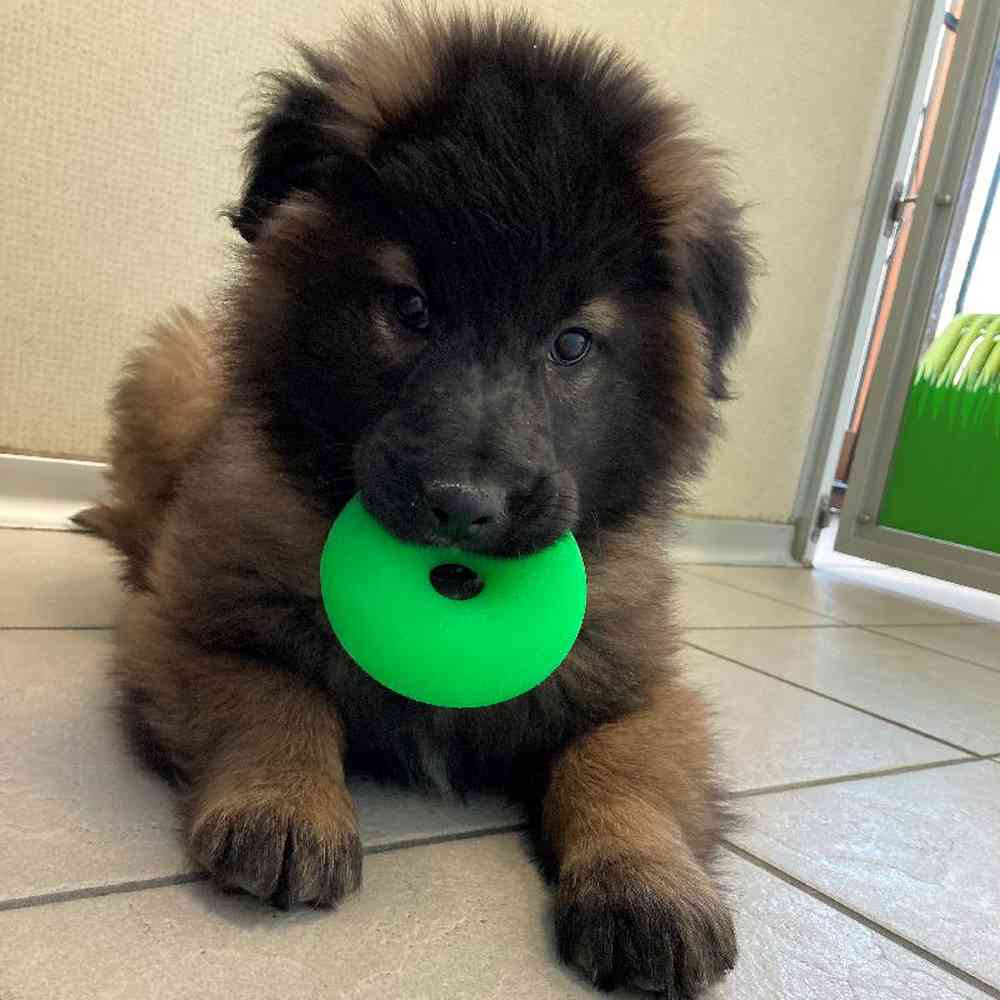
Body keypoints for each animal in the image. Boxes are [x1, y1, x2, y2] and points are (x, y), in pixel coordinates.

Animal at [76, 5, 752, 992]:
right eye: (411, 307)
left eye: (573, 343)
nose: (465, 508)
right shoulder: (194, 626)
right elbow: (278, 692)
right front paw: (285, 805)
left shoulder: (641, 689)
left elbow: (620, 769)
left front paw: (651, 887)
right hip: (174, 374)